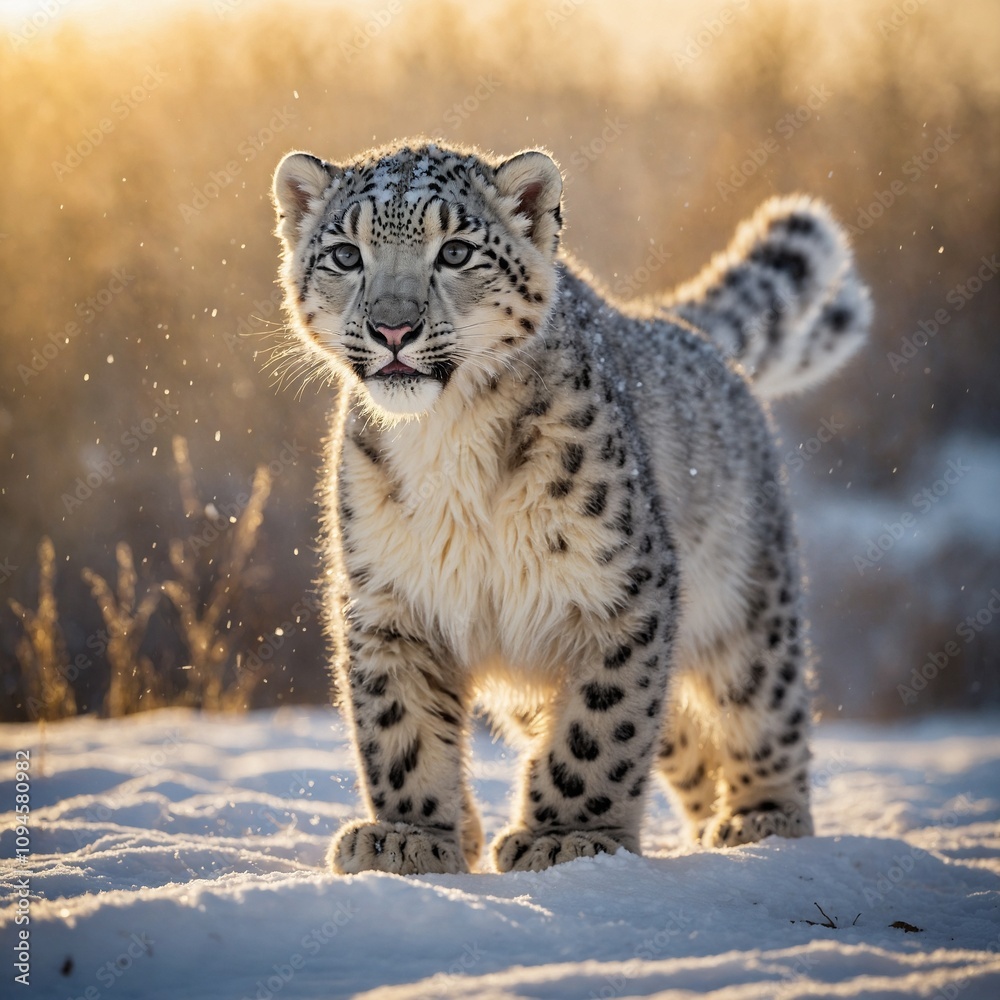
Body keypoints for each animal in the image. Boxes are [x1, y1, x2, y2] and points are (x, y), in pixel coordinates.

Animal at [269, 138, 870, 875]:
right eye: (346, 255)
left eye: (456, 252)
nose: (393, 327)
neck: (446, 439)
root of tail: (677, 326)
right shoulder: (390, 599)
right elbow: (397, 724)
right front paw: (409, 836)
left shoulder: (620, 591)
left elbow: (601, 726)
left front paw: (566, 837)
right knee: (679, 735)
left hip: (749, 603)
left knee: (758, 702)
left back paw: (760, 819)